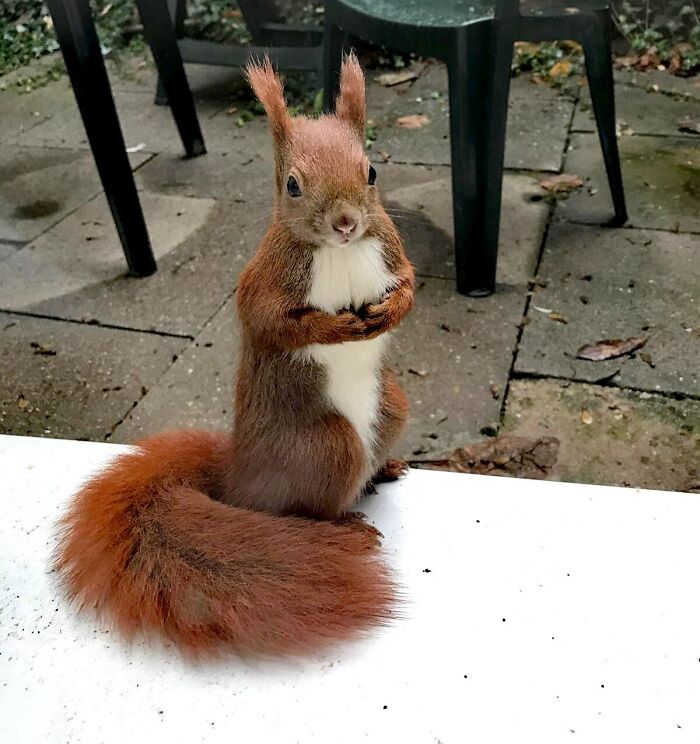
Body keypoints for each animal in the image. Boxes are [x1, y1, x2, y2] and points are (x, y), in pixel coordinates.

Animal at [57, 52, 416, 656]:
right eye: (292, 185)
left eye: (371, 172)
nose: (346, 223)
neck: (338, 252)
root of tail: (238, 473)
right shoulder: (263, 283)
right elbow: (274, 323)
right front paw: (338, 326)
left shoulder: (391, 247)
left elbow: (410, 287)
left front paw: (387, 313)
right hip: (327, 446)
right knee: (311, 506)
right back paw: (345, 525)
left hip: (392, 404)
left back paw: (384, 468)